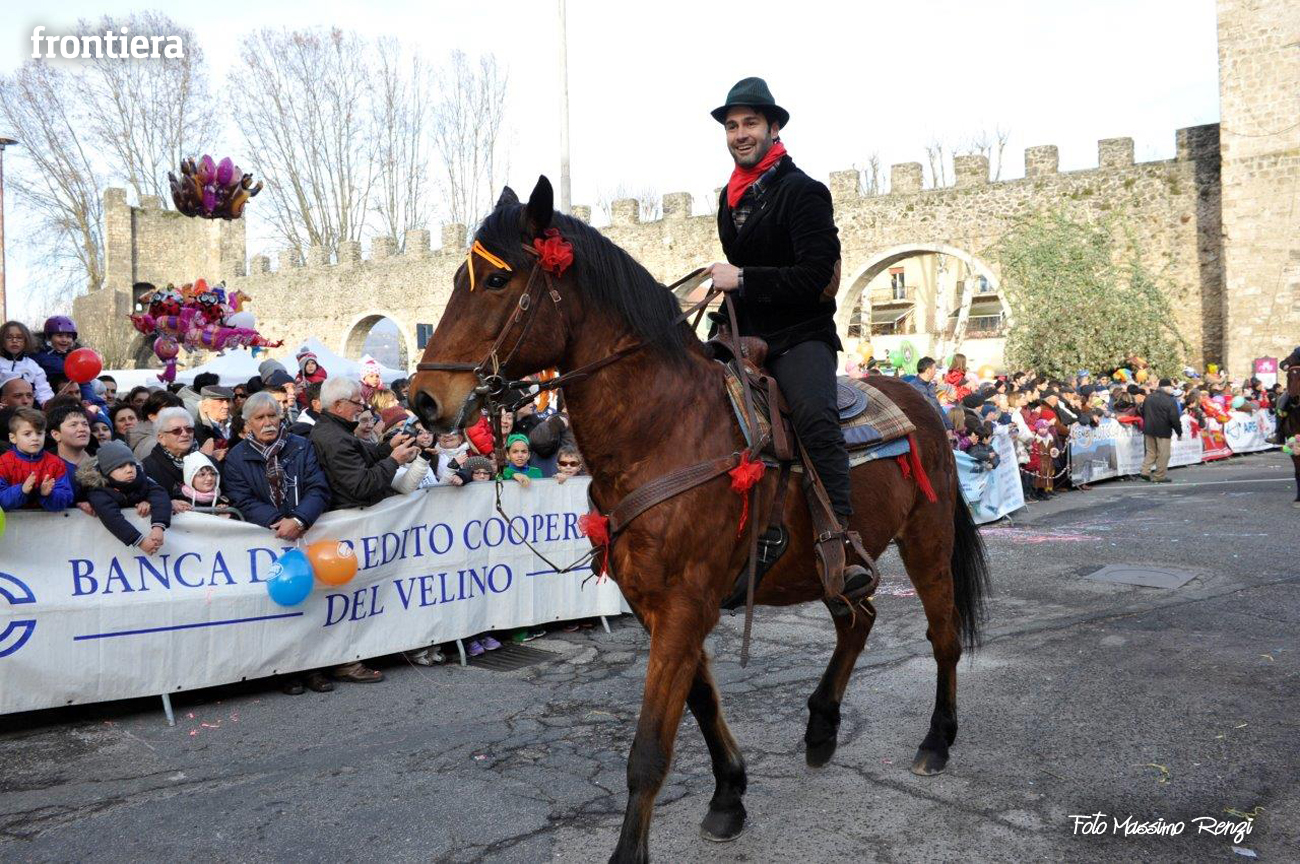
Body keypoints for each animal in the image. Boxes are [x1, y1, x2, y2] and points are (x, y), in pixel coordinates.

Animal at [409, 177, 990, 864]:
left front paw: (632, 850)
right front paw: (728, 795)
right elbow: (702, 701)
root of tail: (923, 404)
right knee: (859, 618)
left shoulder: (685, 602)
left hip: (927, 540)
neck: (662, 430)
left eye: (497, 282)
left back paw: (936, 739)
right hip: (831, 565)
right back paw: (821, 726)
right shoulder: (655, 603)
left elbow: (649, 748)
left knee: (942, 636)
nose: (422, 400)